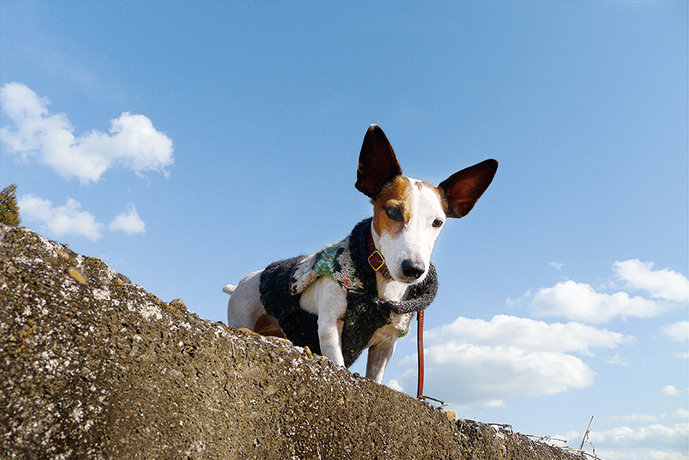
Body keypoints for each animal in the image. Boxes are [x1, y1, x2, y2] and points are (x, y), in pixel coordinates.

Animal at [223, 124, 498, 382]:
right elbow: (337, 362)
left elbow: (375, 376)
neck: (381, 281)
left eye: (438, 222)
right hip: (241, 318)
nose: (414, 269)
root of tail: (241, 283)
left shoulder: (386, 344)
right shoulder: (329, 325)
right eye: (392, 211)